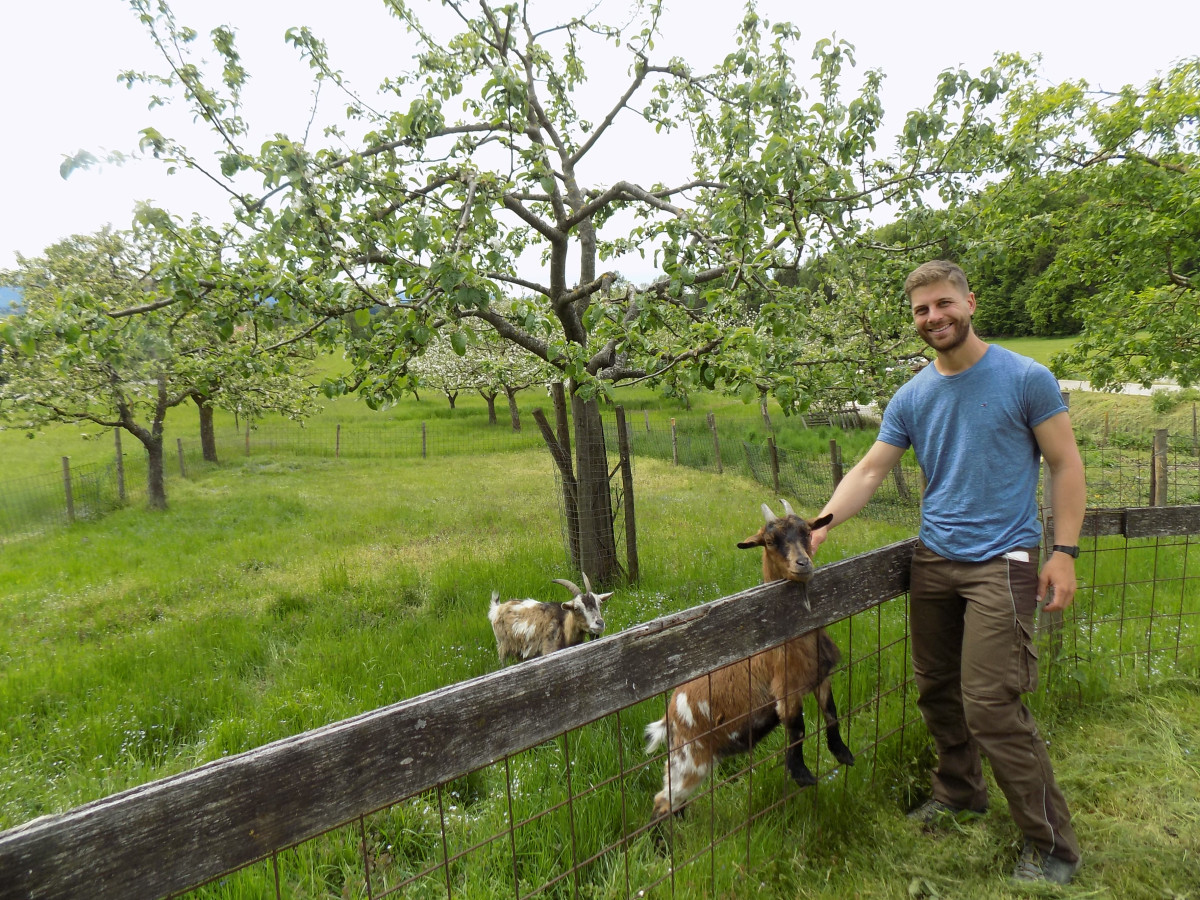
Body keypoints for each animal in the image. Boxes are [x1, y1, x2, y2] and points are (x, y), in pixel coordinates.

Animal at [648, 504, 854, 820]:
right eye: (769, 541)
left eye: (807, 532)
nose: (803, 564)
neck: (792, 640)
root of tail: (670, 714)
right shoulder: (786, 689)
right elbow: (798, 729)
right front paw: (802, 774)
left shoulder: (821, 677)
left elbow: (831, 715)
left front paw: (843, 753)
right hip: (691, 754)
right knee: (662, 799)